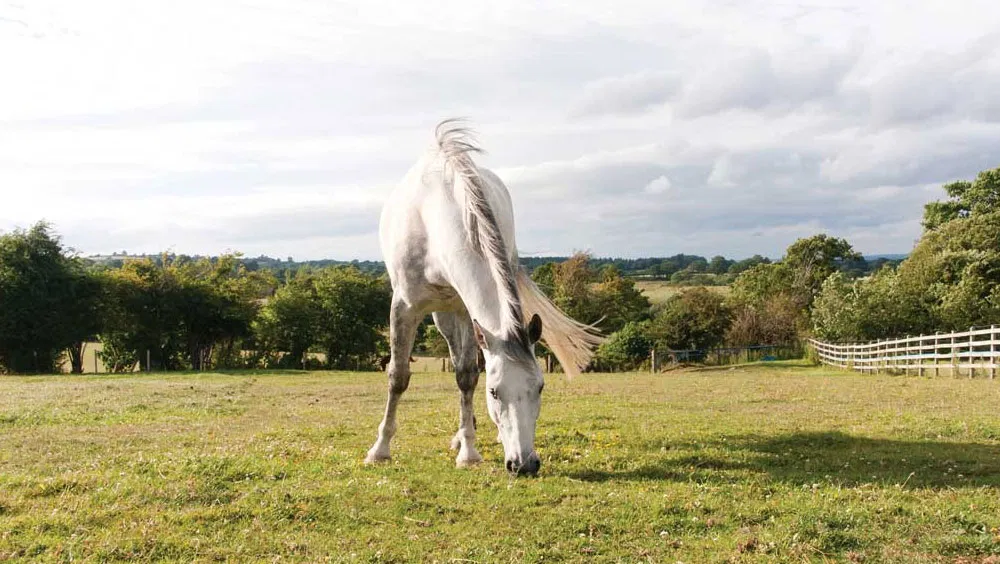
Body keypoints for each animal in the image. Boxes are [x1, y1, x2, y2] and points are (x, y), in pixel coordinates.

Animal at [365, 118, 605, 475]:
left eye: (540, 386)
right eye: (495, 392)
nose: (525, 465)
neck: (435, 218)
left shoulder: (468, 311)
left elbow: (466, 375)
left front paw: (468, 451)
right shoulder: (404, 306)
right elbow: (398, 376)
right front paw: (380, 449)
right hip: (442, 315)